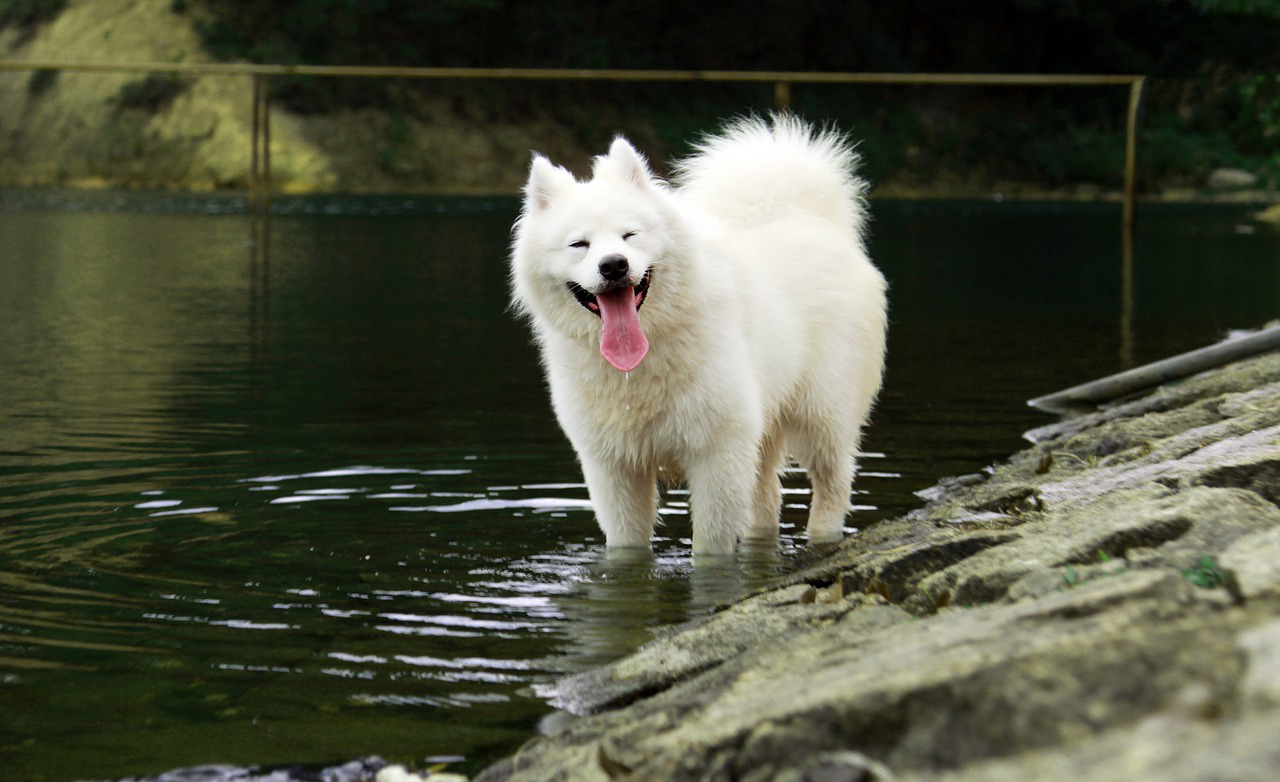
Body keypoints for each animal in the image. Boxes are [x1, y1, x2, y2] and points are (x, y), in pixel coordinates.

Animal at [504, 114, 885, 558]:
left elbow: (709, 549)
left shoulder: (717, 455)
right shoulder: (615, 466)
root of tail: (806, 217)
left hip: (820, 416)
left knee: (832, 485)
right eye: (579, 244)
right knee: (766, 500)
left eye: (630, 235)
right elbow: (628, 548)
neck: (643, 360)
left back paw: (823, 536)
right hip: (763, 428)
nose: (613, 265)